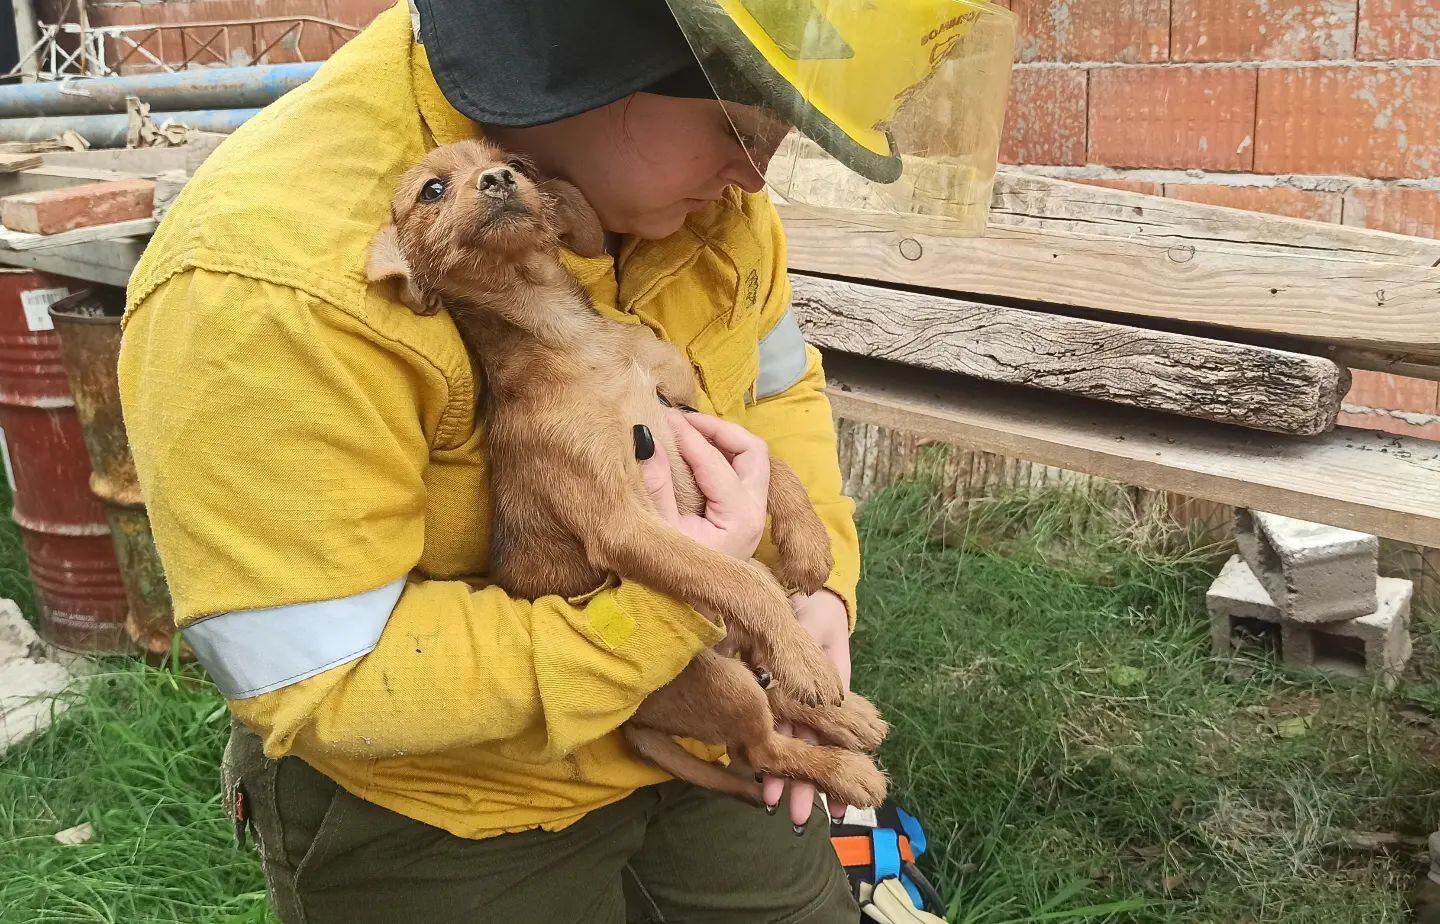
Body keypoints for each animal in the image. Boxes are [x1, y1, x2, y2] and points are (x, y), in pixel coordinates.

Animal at [368, 138, 887, 805]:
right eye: (432, 190)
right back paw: (840, 761)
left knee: (769, 697)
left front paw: (809, 549)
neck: (571, 337)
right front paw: (803, 654)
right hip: (720, 684)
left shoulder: (691, 413)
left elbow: (775, 463)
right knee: (762, 743)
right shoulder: (623, 521)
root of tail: (635, 722)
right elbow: (743, 579)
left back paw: (848, 715)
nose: (500, 179)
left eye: (517, 163)